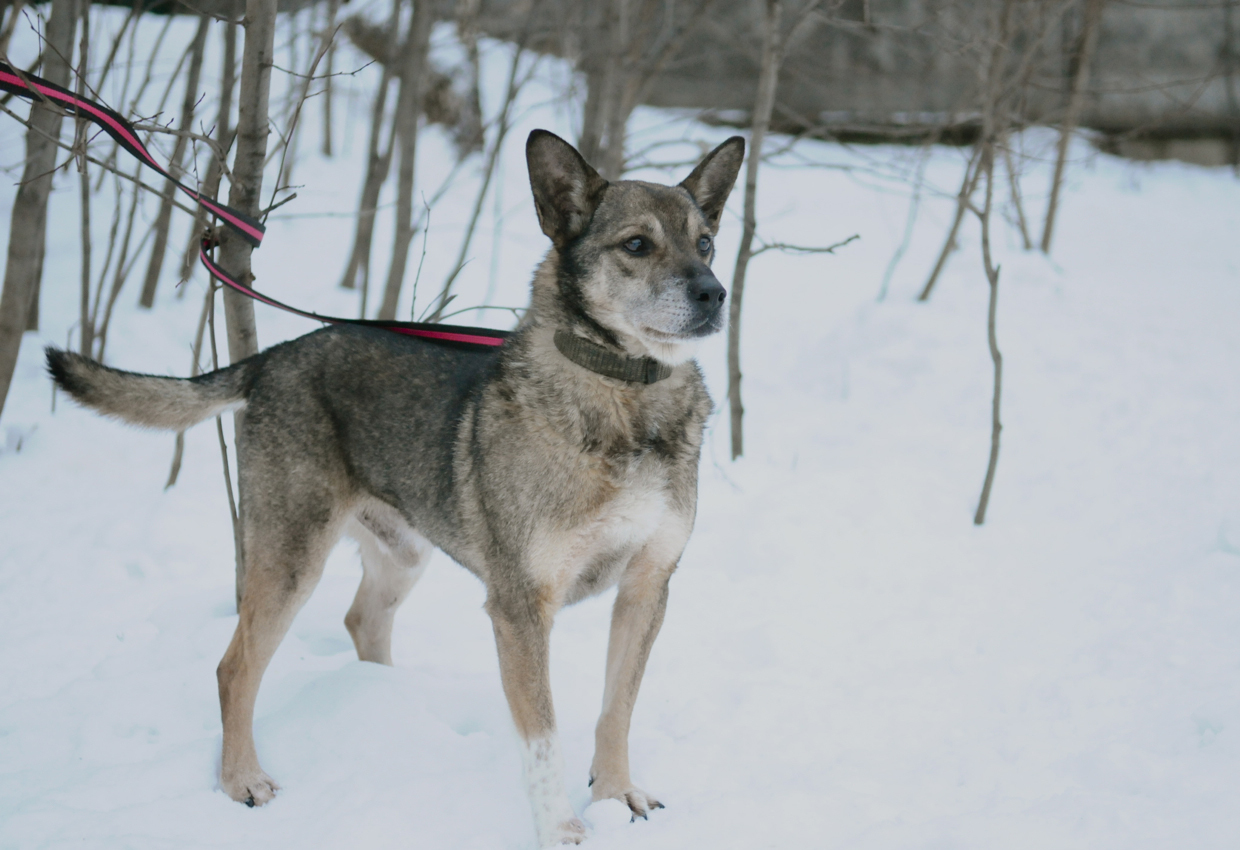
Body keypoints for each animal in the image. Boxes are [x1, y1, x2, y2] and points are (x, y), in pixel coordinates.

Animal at [45, 129, 744, 843]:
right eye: (637, 245)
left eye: (706, 243)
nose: (716, 294)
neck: (626, 396)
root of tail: (275, 356)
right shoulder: (521, 607)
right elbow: (543, 738)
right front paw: (562, 831)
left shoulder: (647, 586)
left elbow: (616, 709)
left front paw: (617, 793)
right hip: (293, 555)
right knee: (234, 667)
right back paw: (241, 778)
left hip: (404, 553)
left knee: (362, 620)